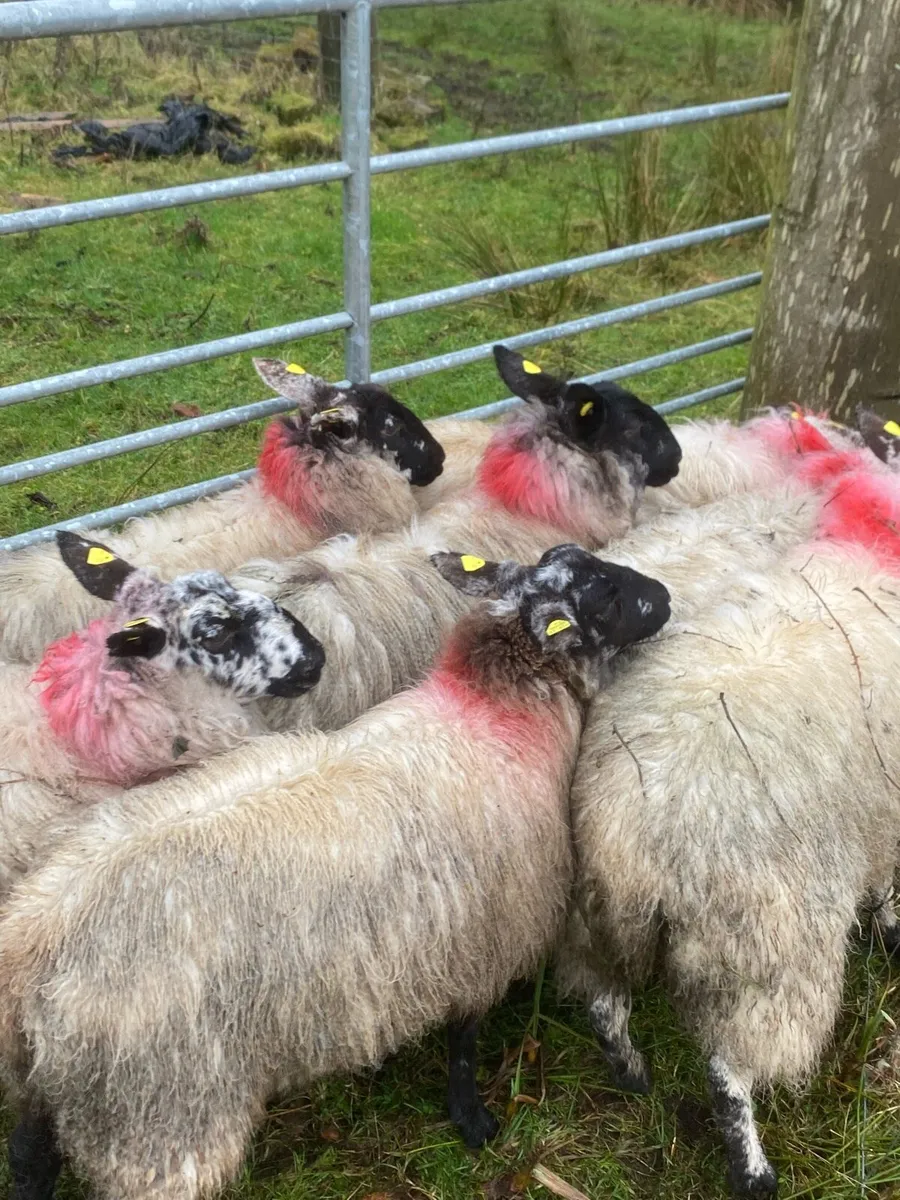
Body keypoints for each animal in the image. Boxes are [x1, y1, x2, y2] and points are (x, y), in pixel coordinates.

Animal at [556, 436, 900, 1197]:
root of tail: (628, 838)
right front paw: (894, 931)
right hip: (763, 945)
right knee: (728, 1070)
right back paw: (754, 1170)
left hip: (595, 918)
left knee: (603, 1000)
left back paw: (631, 1075)